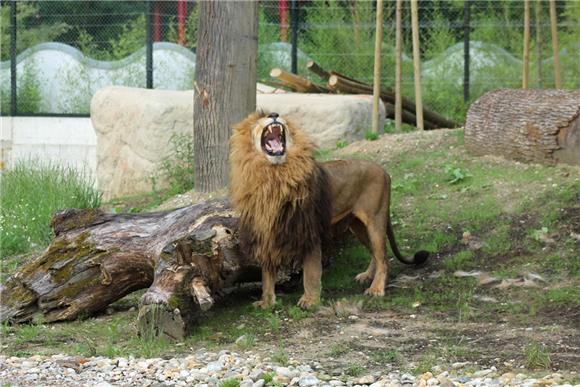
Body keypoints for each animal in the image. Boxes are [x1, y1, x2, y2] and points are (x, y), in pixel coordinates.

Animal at [229, 111, 428, 310]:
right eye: (258, 119)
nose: (274, 114)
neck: (273, 173)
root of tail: (384, 170)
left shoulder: (309, 231)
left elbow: (311, 272)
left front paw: (310, 301)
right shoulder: (266, 231)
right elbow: (267, 275)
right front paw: (267, 302)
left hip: (375, 220)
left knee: (383, 258)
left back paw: (376, 288)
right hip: (357, 226)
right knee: (377, 254)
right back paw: (367, 276)